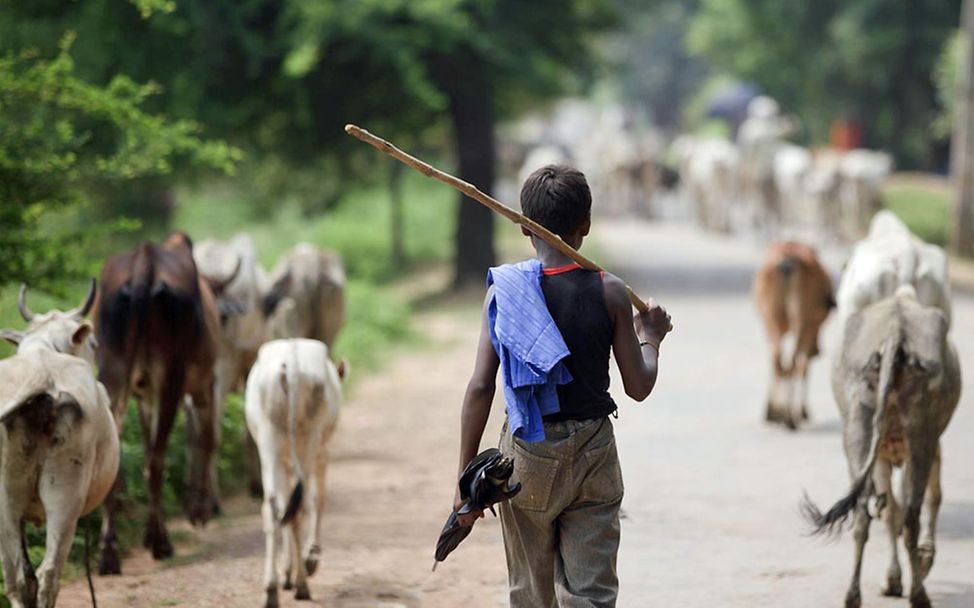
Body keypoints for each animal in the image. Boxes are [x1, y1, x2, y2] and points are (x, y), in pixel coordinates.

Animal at [0, 284, 119, 608]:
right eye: (93, 343)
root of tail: (40, 376)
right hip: (65, 494)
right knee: (48, 574)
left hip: (5, 498)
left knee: (18, 578)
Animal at [93, 230, 223, 572]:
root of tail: (145, 262)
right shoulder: (205, 384)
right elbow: (206, 439)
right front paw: (200, 510)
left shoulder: (144, 395)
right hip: (171, 378)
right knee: (156, 459)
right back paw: (160, 541)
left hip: (112, 371)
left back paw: (109, 551)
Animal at [246, 340, 346, 604]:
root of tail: (289, 365)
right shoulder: (321, 453)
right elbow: (317, 499)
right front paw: (310, 558)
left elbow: (285, 504)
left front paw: (287, 572)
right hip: (308, 439)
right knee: (301, 505)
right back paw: (302, 583)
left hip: (268, 439)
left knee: (274, 507)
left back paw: (272, 589)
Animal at [756, 241, 840, 428]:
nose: (818, 351)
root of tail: (787, 262)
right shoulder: (810, 328)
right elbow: (803, 367)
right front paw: (803, 412)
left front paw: (772, 412)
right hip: (800, 322)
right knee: (793, 362)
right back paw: (789, 418)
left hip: (772, 318)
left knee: (777, 359)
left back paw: (776, 414)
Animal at [804, 288, 964, 608]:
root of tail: (894, 335)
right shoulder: (932, 443)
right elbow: (928, 499)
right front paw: (919, 563)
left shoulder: (878, 454)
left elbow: (889, 510)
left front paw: (894, 578)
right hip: (922, 434)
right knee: (912, 514)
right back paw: (919, 594)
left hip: (858, 429)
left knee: (863, 515)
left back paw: (853, 595)